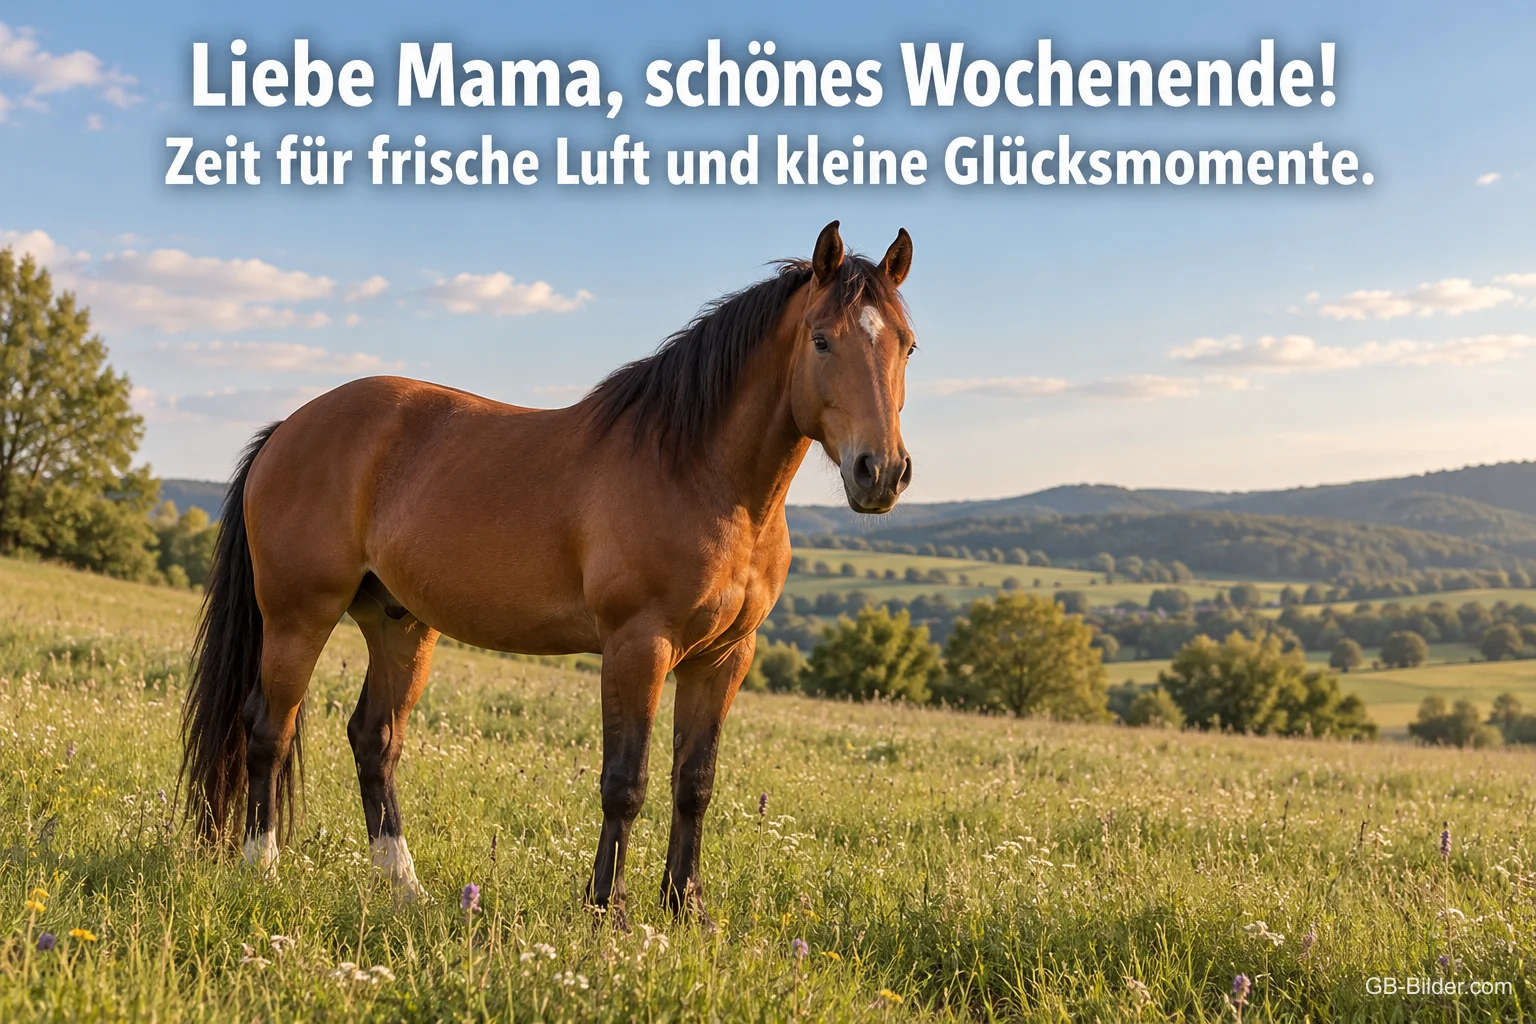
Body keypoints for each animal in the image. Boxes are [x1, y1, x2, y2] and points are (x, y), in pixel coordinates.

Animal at [179, 220, 917, 923]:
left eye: (907, 345)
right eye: (821, 341)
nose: (880, 471)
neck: (699, 472)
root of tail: (289, 427)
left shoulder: (725, 657)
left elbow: (694, 784)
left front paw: (687, 909)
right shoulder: (637, 646)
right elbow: (625, 784)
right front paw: (607, 911)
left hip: (400, 624)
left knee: (374, 740)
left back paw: (405, 888)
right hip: (298, 615)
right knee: (268, 729)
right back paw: (261, 867)